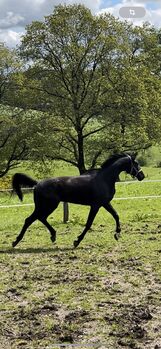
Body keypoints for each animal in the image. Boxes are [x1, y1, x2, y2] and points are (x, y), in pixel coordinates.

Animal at [11, 152, 145, 247]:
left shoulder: (105, 203)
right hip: (49, 205)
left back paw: (52, 236)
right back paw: (16, 242)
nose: (142, 176)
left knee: (38, 218)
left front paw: (117, 234)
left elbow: (116, 215)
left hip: (44, 206)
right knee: (32, 219)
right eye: (136, 163)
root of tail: (37, 184)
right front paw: (77, 241)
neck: (105, 179)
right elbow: (89, 223)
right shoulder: (96, 205)